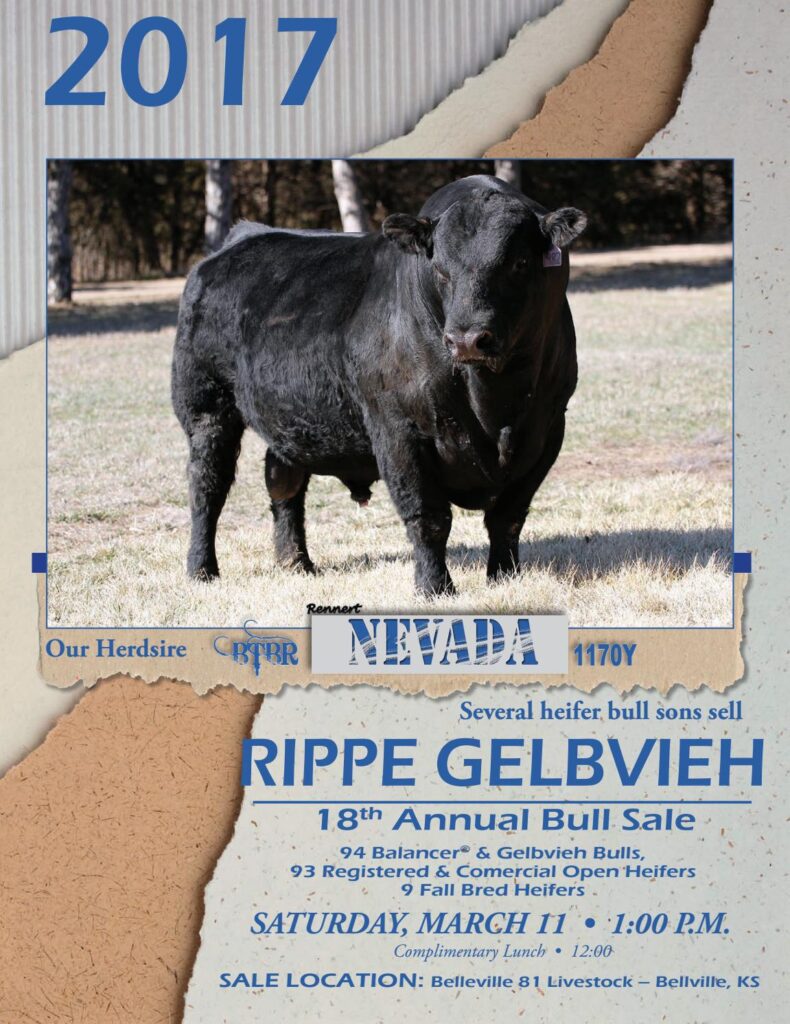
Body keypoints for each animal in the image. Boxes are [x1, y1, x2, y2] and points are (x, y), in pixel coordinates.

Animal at [171, 174, 586, 595]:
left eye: (519, 263)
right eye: (439, 268)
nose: (467, 340)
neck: (495, 406)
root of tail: (241, 237)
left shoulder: (548, 429)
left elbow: (508, 516)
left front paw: (504, 577)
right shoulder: (398, 430)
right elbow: (428, 518)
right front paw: (434, 587)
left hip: (288, 416)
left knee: (284, 482)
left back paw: (296, 563)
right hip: (207, 408)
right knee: (207, 487)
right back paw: (202, 569)